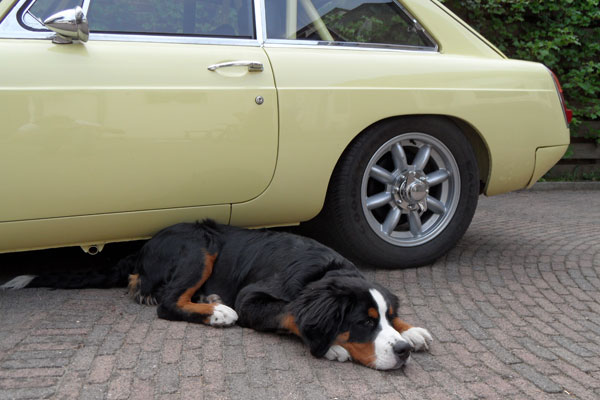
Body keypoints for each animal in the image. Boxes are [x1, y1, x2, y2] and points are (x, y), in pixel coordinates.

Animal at [1, 220, 432, 370]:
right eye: (362, 323)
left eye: (383, 317)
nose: (401, 353)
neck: (323, 269)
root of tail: (145, 246)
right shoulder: (253, 298)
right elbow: (291, 313)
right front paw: (332, 348)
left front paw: (412, 331)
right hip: (200, 246)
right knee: (167, 303)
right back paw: (217, 312)